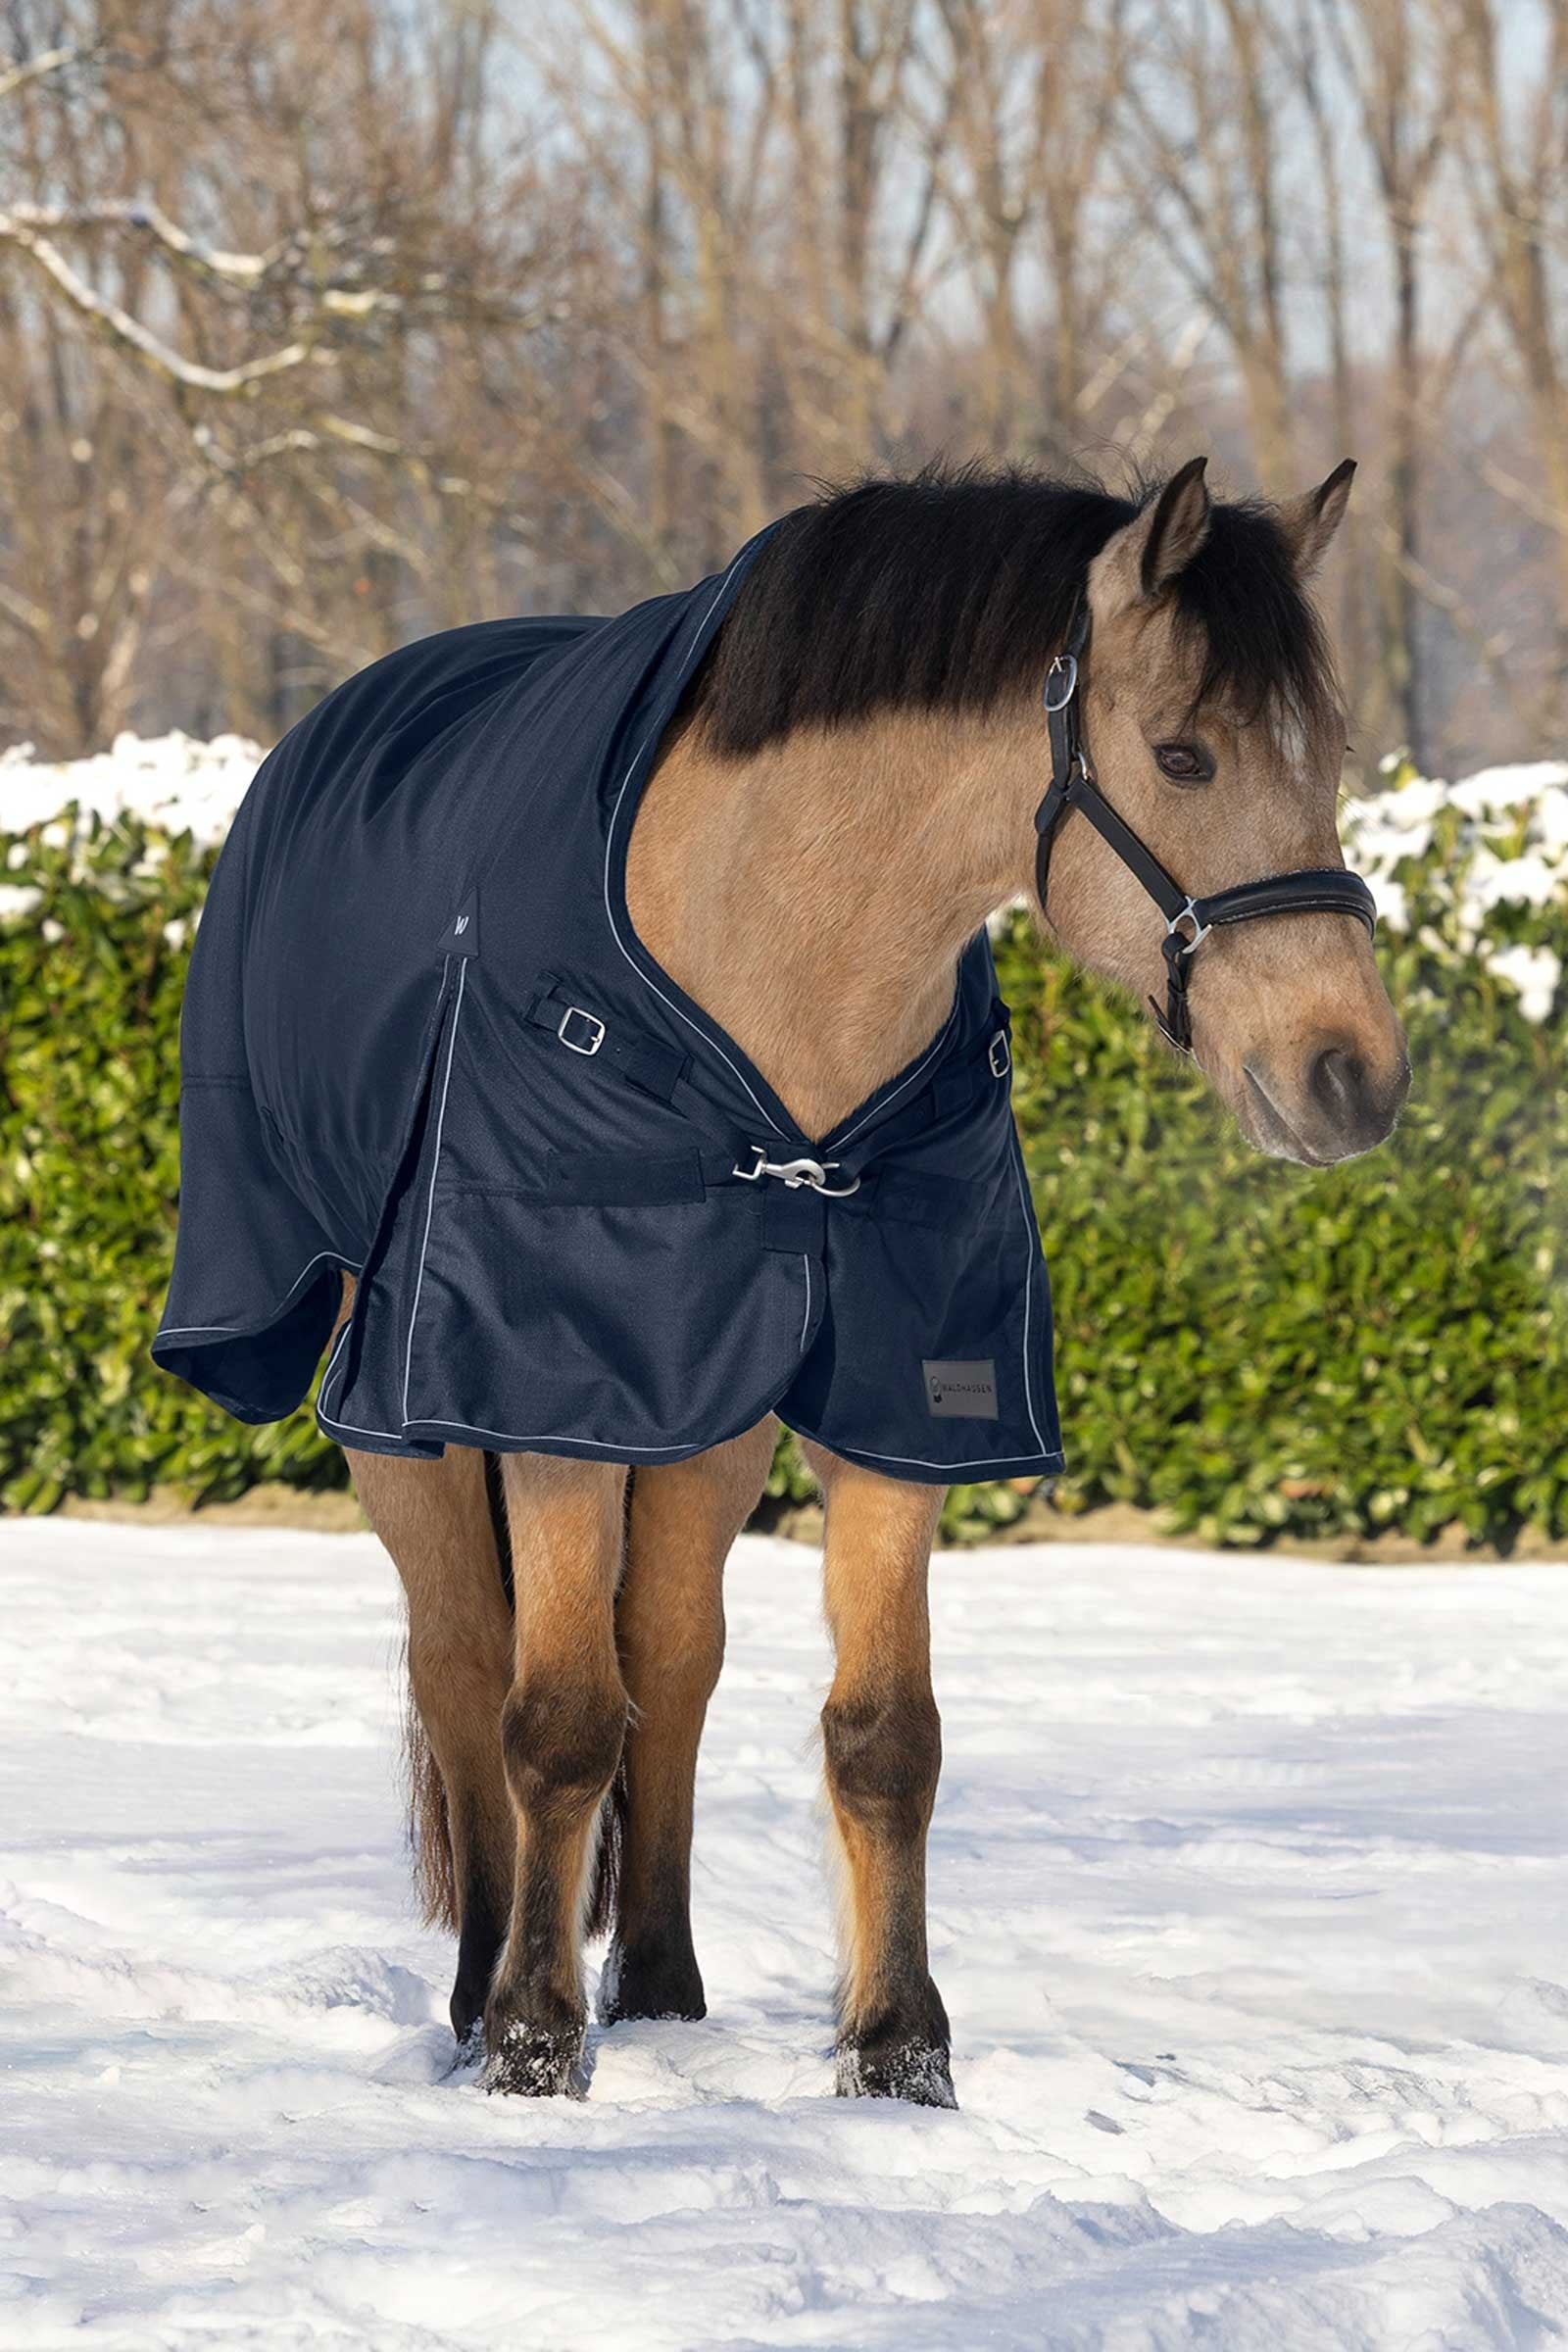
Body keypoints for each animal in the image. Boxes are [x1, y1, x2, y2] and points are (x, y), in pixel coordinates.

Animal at [161, 455, 1409, 2105]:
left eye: (1328, 759)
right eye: (1184, 756)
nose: (1352, 1080)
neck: (774, 955)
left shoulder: (900, 1400)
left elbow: (883, 1733)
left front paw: (898, 2053)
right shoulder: (553, 1395)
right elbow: (556, 1718)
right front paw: (533, 2045)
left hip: (707, 1428)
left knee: (672, 1659)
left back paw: (665, 1990)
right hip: (408, 1433)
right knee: (466, 1668)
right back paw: (478, 1992)